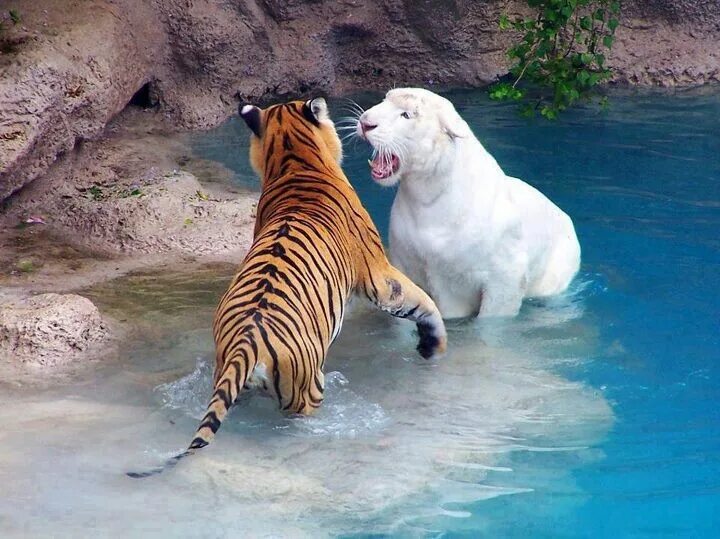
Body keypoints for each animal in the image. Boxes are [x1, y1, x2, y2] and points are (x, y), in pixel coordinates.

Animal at [128, 96, 444, 476]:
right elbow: (421, 301)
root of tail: (245, 345)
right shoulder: (377, 274)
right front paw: (433, 345)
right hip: (308, 387)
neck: (294, 159)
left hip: (228, 375)